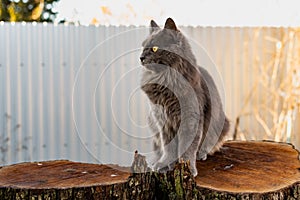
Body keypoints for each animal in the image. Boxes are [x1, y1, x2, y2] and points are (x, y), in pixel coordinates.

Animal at [139, 18, 229, 176]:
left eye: (154, 48)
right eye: (143, 47)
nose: (141, 58)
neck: (165, 82)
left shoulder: (190, 119)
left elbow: (187, 147)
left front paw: (187, 168)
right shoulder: (163, 121)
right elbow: (168, 147)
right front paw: (164, 164)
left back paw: (202, 154)